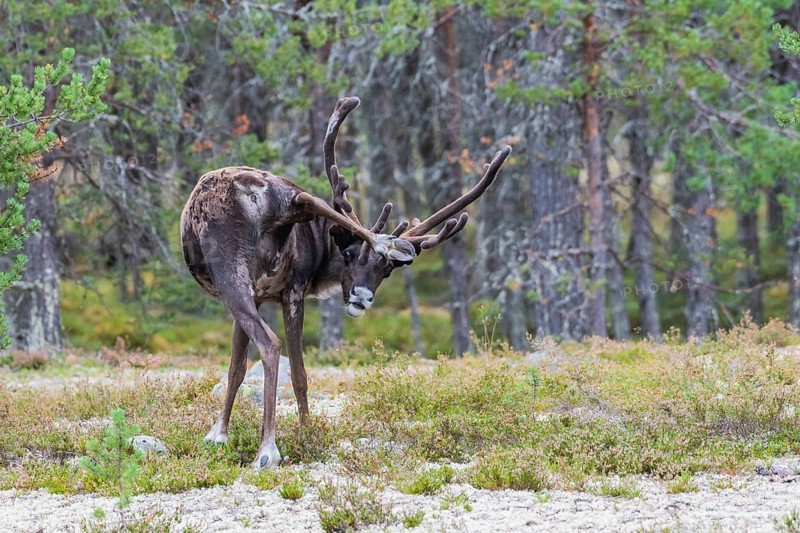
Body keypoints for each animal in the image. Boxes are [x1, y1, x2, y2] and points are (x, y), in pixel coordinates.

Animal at [180, 96, 511, 469]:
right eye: (349, 254)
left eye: (387, 271)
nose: (363, 296)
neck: (322, 252)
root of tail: (270, 198)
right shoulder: (273, 293)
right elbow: (252, 369)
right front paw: (224, 433)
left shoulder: (281, 292)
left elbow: (274, 371)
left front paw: (300, 434)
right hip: (234, 268)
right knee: (308, 202)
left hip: (232, 270)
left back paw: (267, 448)